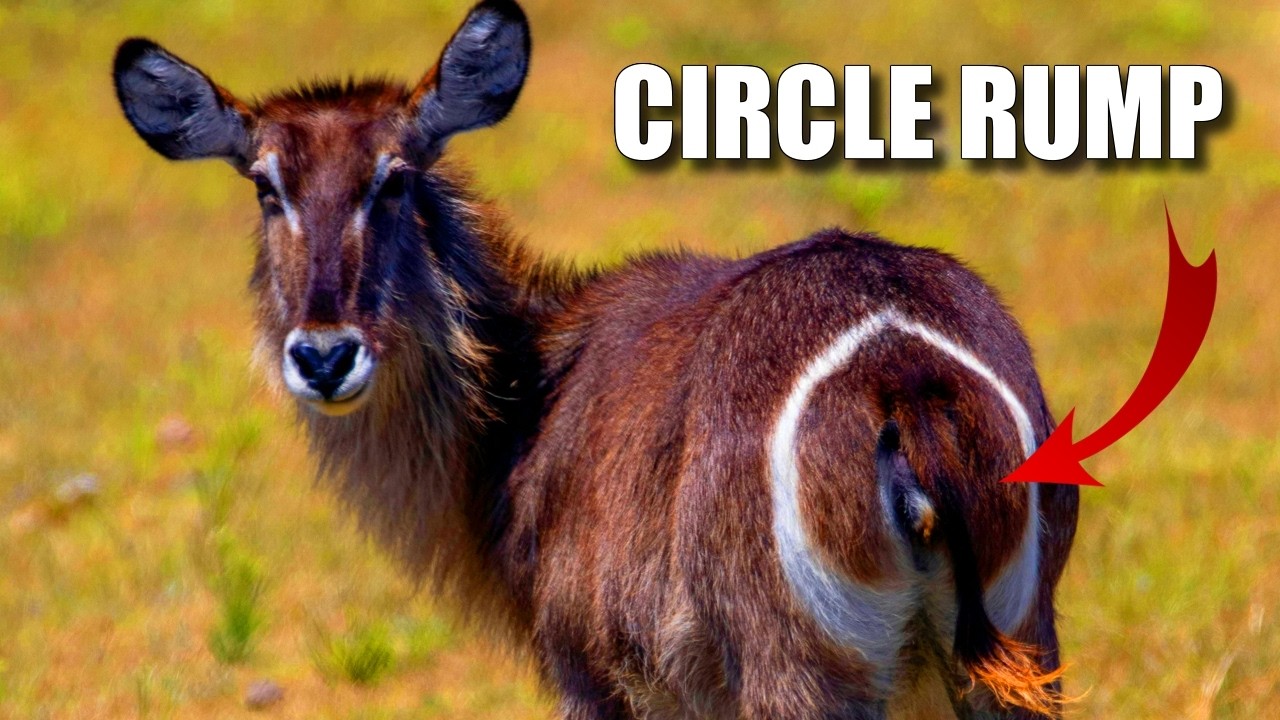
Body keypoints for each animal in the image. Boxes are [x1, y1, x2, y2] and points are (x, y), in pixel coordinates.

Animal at [112, 1, 1078, 717]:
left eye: (392, 177)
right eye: (265, 185)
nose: (323, 357)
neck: (530, 394)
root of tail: (904, 376)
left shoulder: (590, 676)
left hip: (803, 674)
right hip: (1021, 652)